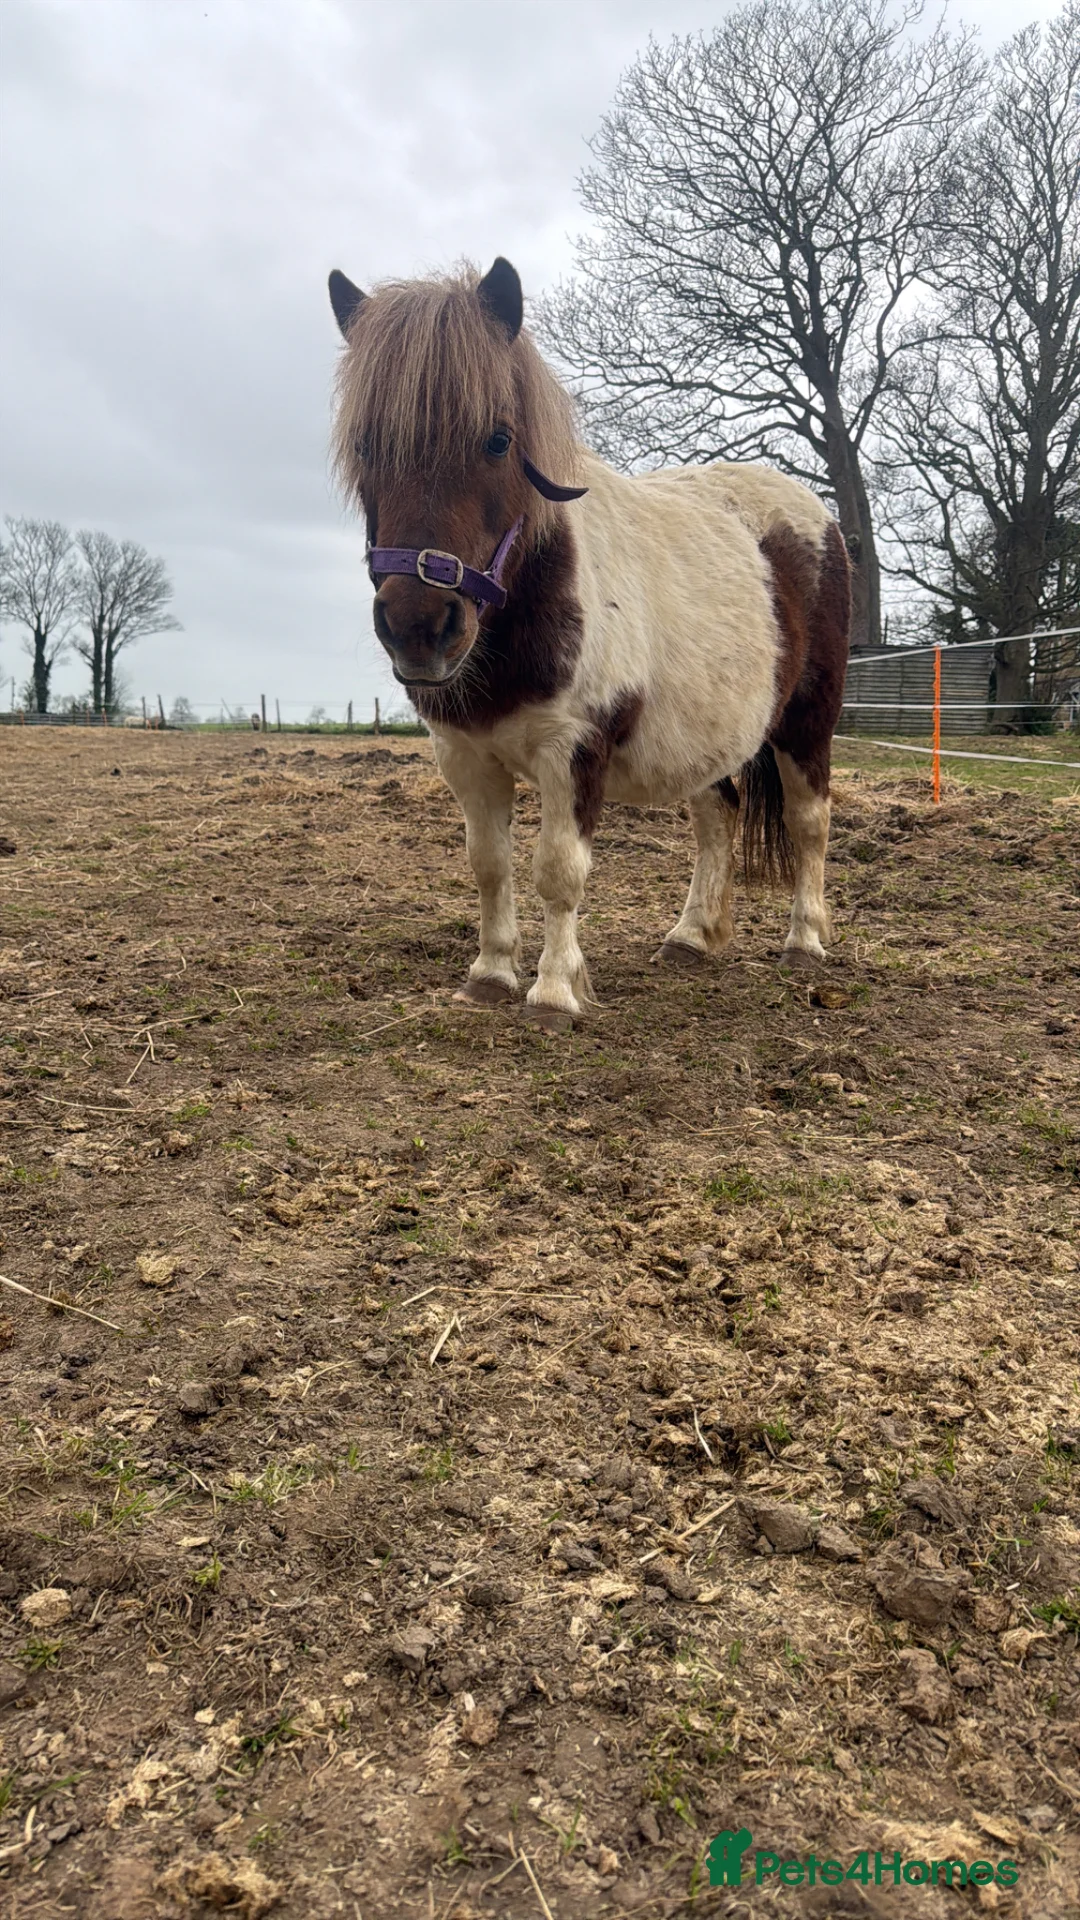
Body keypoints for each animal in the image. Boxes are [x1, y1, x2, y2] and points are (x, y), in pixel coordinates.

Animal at [328, 257, 850, 1032]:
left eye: (499, 439)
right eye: (366, 444)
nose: (420, 626)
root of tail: (816, 516)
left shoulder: (572, 752)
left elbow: (558, 870)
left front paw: (552, 993)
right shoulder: (465, 755)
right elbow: (490, 864)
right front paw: (490, 975)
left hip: (807, 722)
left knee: (808, 821)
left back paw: (805, 943)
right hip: (705, 736)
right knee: (717, 815)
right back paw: (692, 937)